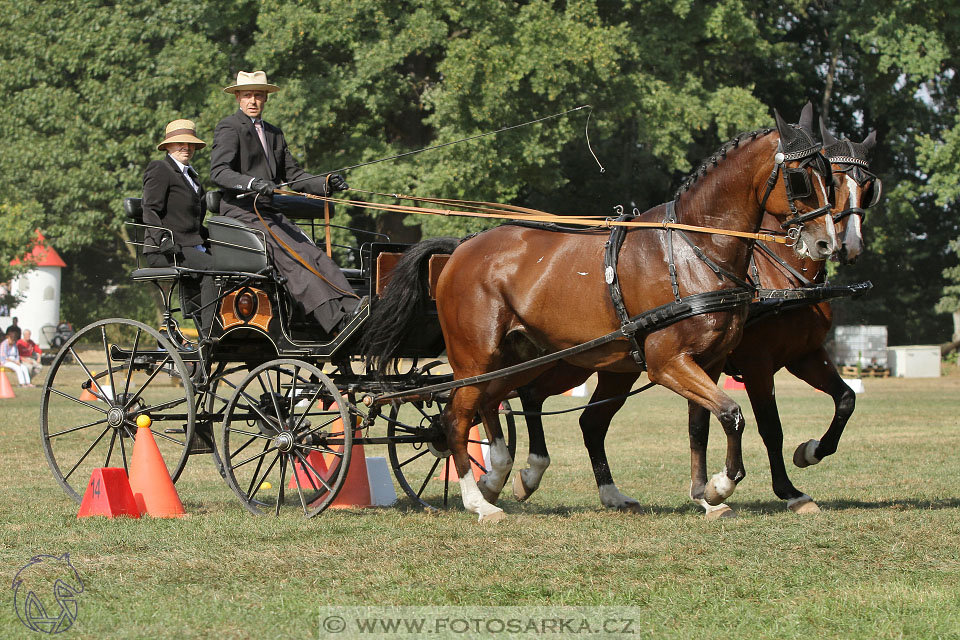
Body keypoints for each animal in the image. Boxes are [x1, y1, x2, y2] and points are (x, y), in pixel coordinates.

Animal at [364, 109, 836, 520]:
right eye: (800, 179)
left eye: (830, 176)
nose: (826, 243)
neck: (694, 250)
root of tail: (461, 248)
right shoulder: (670, 363)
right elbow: (735, 415)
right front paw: (721, 487)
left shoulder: (713, 361)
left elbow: (708, 422)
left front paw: (709, 494)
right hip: (477, 358)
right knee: (456, 418)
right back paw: (479, 502)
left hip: (520, 357)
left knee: (497, 402)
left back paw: (501, 477)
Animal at [512, 121, 880, 520]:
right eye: (824, 181)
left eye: (868, 187)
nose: (840, 244)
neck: (780, 277)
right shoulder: (757, 363)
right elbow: (770, 427)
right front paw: (788, 491)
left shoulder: (802, 355)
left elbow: (845, 399)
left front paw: (808, 453)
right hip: (569, 363)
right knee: (529, 395)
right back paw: (527, 474)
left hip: (614, 369)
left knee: (589, 421)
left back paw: (607, 493)